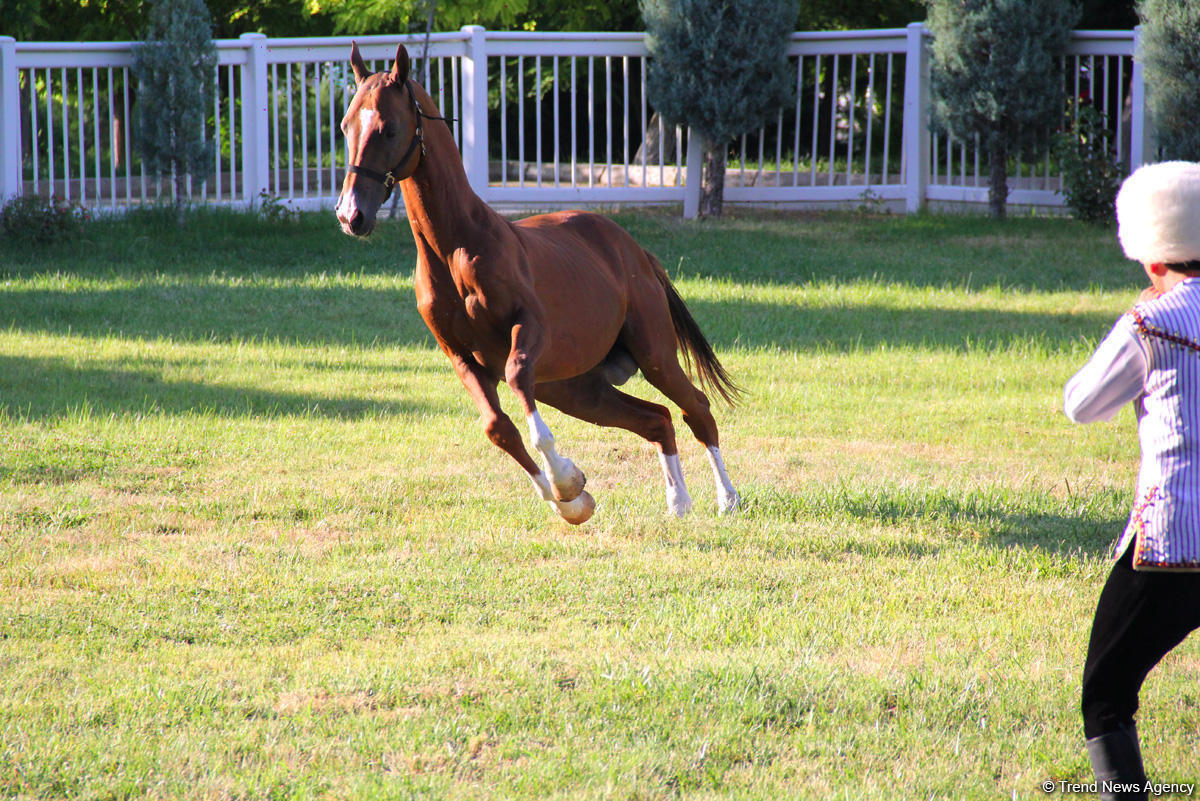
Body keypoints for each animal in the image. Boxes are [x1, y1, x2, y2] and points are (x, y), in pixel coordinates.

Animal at [333, 43, 734, 522]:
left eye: (389, 128)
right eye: (345, 126)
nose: (351, 215)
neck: (455, 250)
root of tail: (635, 251)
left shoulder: (528, 330)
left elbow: (520, 387)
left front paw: (567, 480)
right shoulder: (459, 356)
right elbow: (498, 428)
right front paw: (572, 499)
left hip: (653, 356)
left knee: (697, 409)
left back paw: (727, 498)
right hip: (577, 390)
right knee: (657, 419)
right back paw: (679, 502)